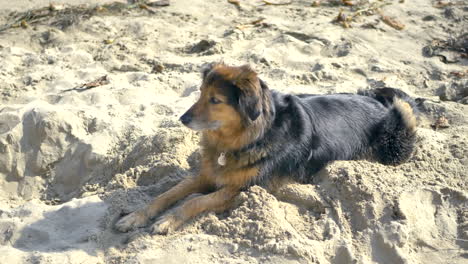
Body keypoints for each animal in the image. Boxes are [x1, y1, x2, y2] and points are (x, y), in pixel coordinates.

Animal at [115, 62, 418, 235]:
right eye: (200, 94)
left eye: (215, 100)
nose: (182, 119)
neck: (247, 136)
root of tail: (378, 104)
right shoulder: (207, 174)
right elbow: (167, 194)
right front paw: (134, 217)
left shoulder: (243, 188)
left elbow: (194, 201)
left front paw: (167, 221)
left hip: (397, 135)